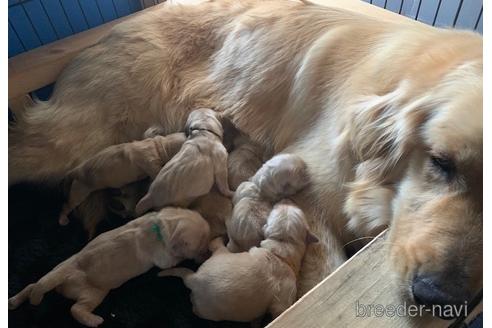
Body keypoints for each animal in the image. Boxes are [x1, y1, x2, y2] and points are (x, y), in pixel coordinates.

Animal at [7, 209, 210, 326]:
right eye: (200, 246)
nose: (206, 253)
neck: (162, 224)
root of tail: (67, 273)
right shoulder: (163, 257)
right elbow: (172, 259)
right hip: (93, 293)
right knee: (76, 309)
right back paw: (94, 320)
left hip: (56, 269)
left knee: (33, 285)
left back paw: (13, 301)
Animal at [160, 200, 318, 322]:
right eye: (275, 209)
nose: (284, 200)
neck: (282, 246)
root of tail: (193, 278)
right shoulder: (285, 297)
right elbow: (281, 310)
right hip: (208, 310)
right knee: (196, 310)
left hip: (220, 254)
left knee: (214, 245)